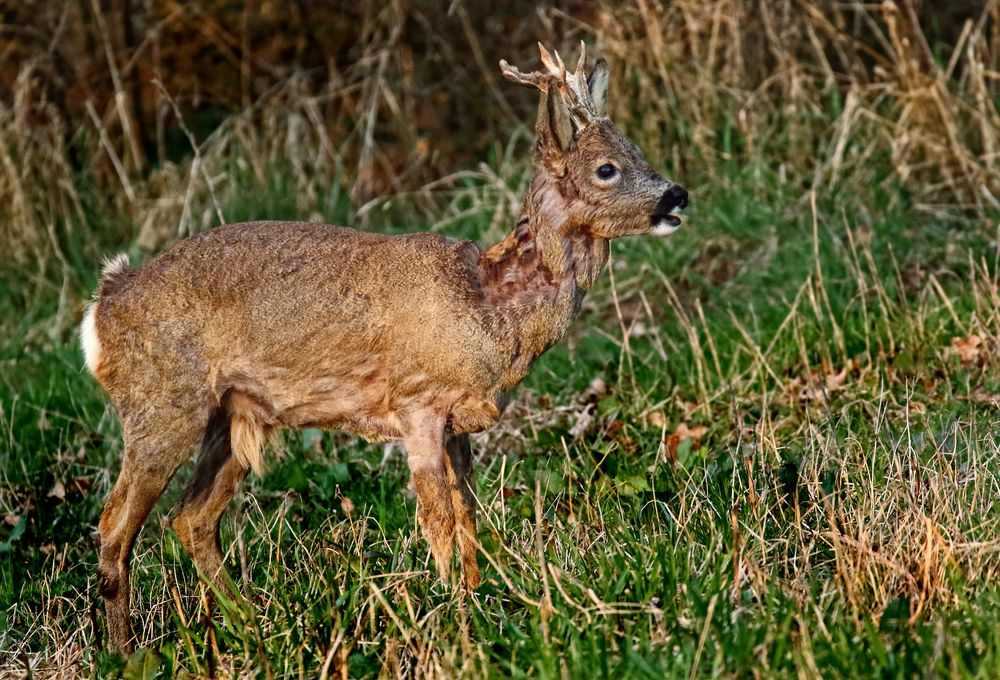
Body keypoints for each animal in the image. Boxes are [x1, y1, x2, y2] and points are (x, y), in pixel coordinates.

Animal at [82, 43, 688, 652]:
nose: (677, 194)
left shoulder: (458, 421)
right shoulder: (418, 403)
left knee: (191, 518)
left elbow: (469, 514)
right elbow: (439, 519)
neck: (491, 306)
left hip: (234, 414)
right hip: (161, 405)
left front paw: (480, 596)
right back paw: (124, 651)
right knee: (114, 527)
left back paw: (252, 622)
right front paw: (453, 614)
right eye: (606, 169)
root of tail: (103, 305)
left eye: (637, 151)